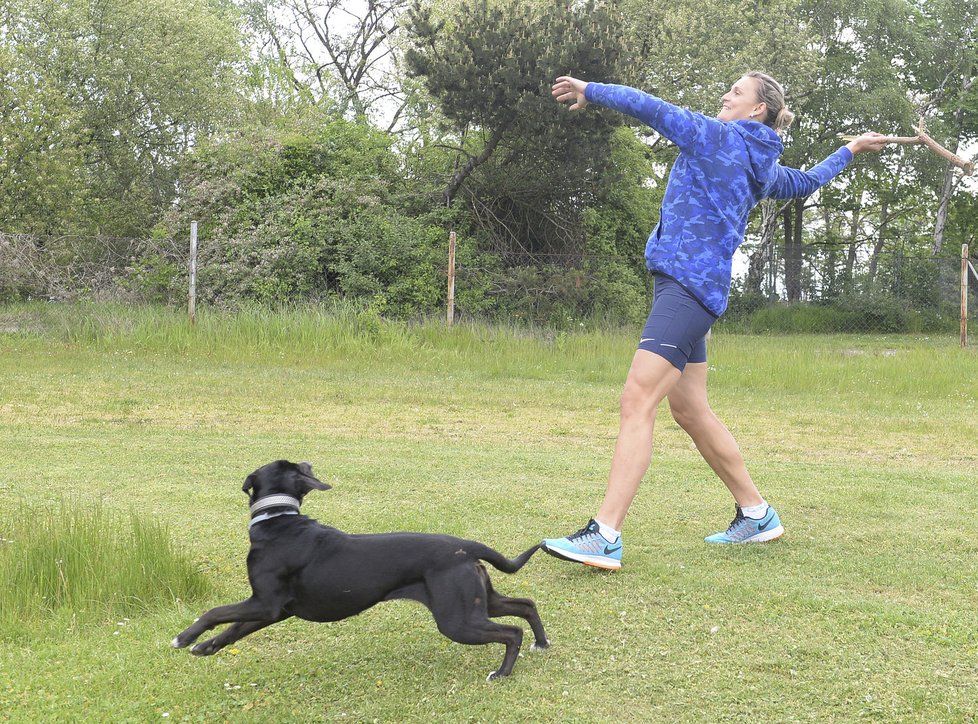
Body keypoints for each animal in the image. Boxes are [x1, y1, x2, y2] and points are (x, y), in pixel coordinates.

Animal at [171, 458, 544, 680]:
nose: (308, 460)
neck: (279, 520)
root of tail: (466, 545)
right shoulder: (274, 610)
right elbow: (234, 628)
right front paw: (206, 647)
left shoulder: (264, 603)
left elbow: (215, 612)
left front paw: (185, 637)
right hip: (478, 601)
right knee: (525, 605)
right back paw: (541, 643)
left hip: (457, 619)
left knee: (512, 632)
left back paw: (502, 673)